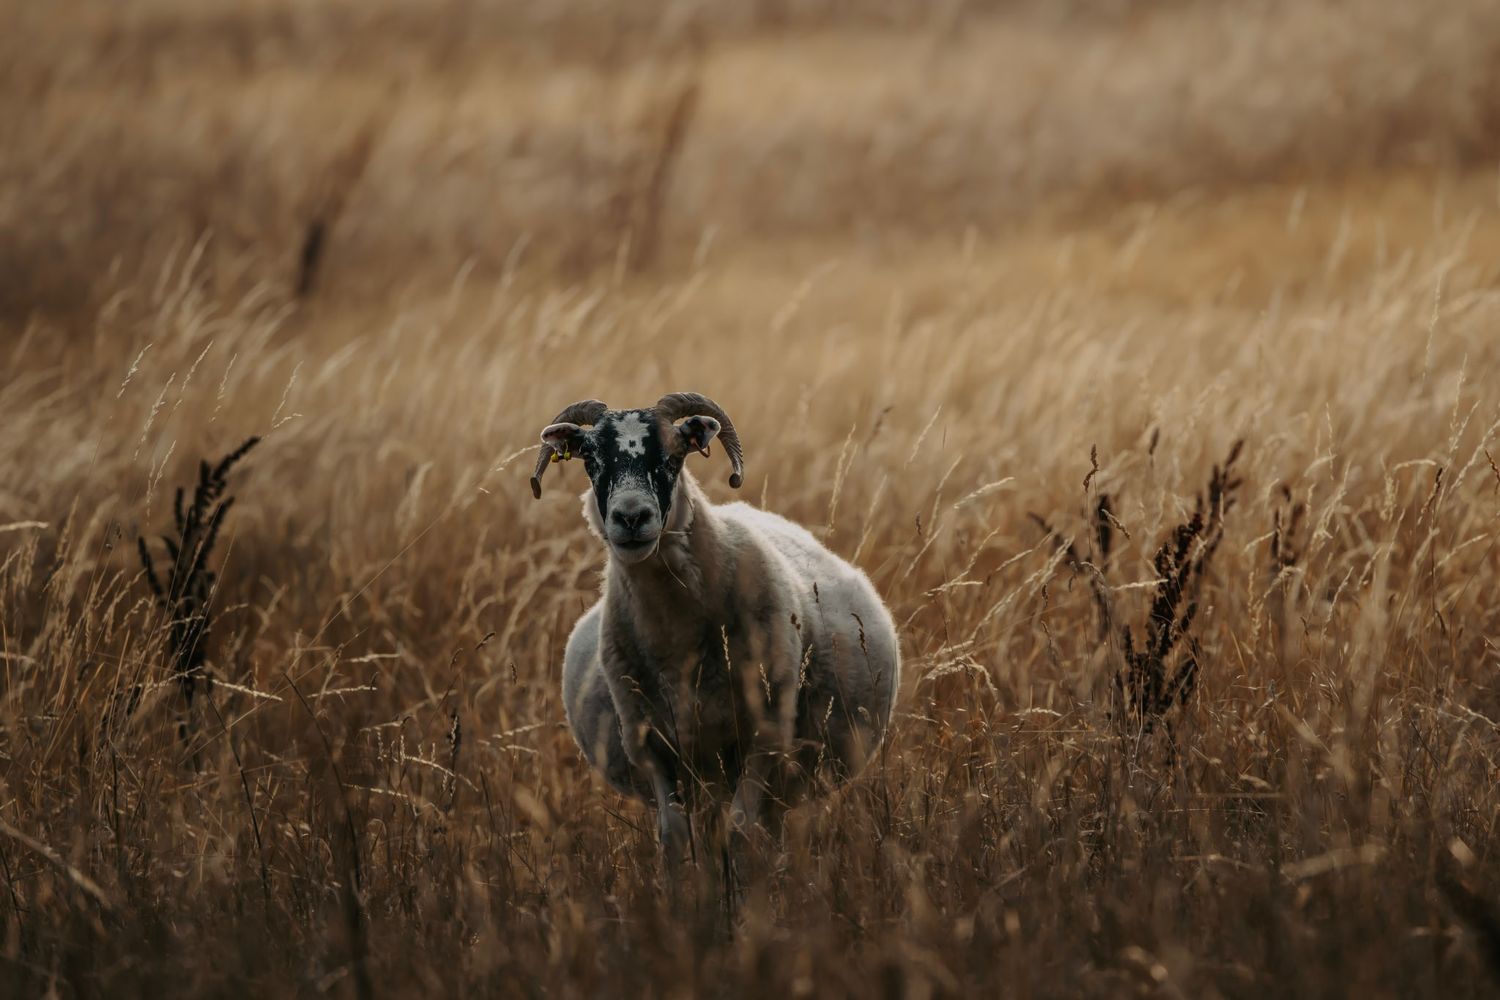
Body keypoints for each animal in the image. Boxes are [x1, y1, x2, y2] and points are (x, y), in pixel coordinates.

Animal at [530, 392, 901, 861]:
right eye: (590, 458)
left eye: (675, 455)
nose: (631, 517)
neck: (676, 640)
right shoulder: (653, 749)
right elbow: (674, 838)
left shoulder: (763, 739)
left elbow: (741, 832)